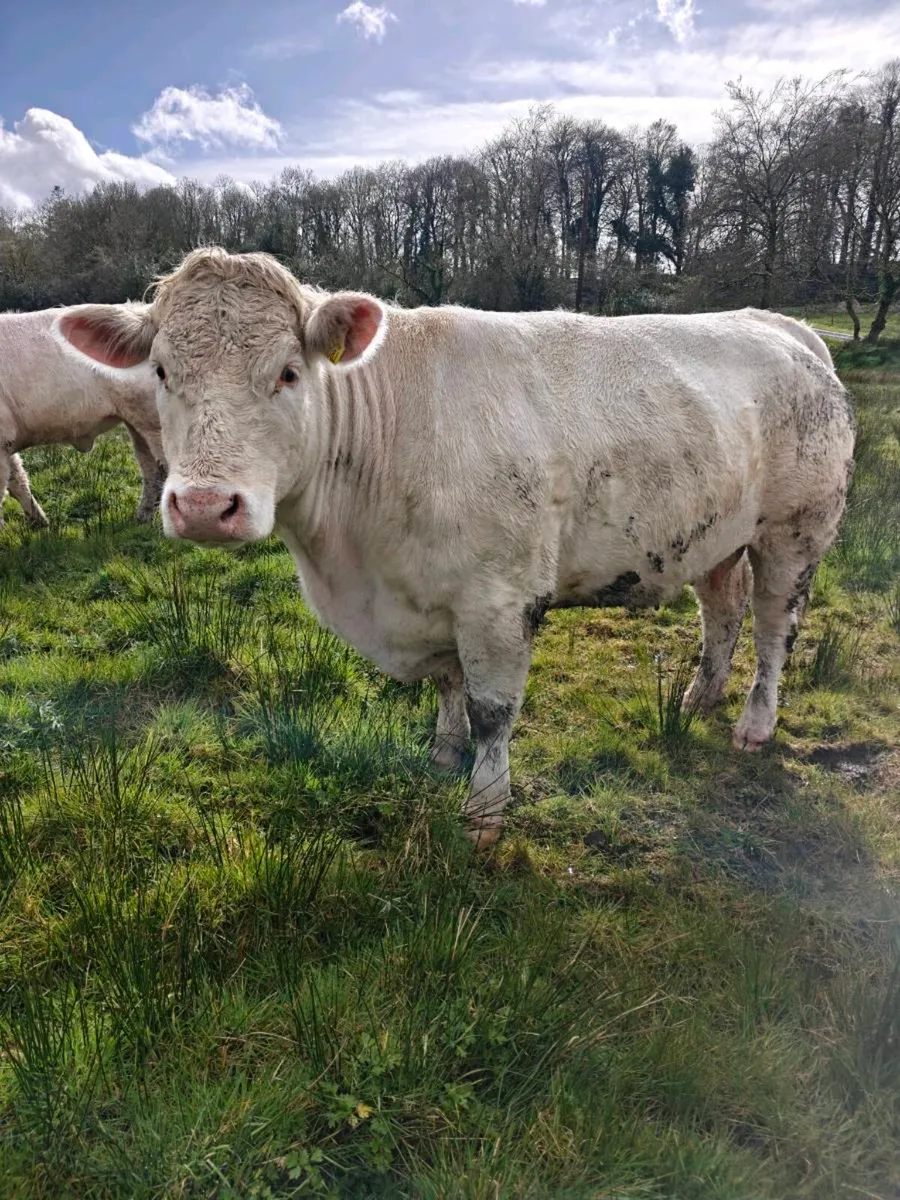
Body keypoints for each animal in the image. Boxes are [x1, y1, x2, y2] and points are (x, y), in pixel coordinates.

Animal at [1, 306, 166, 529]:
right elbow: (18, 480)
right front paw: (41, 523)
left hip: (156, 421)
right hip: (137, 421)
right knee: (151, 468)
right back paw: (142, 519)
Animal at [53, 249, 856, 846]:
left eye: (287, 371)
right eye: (162, 371)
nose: (202, 507)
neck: (357, 564)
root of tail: (783, 326)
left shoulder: (499, 601)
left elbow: (492, 709)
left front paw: (484, 807)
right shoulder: (424, 598)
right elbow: (445, 685)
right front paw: (441, 755)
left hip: (797, 528)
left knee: (775, 627)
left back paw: (754, 722)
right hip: (717, 534)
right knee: (723, 606)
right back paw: (699, 695)